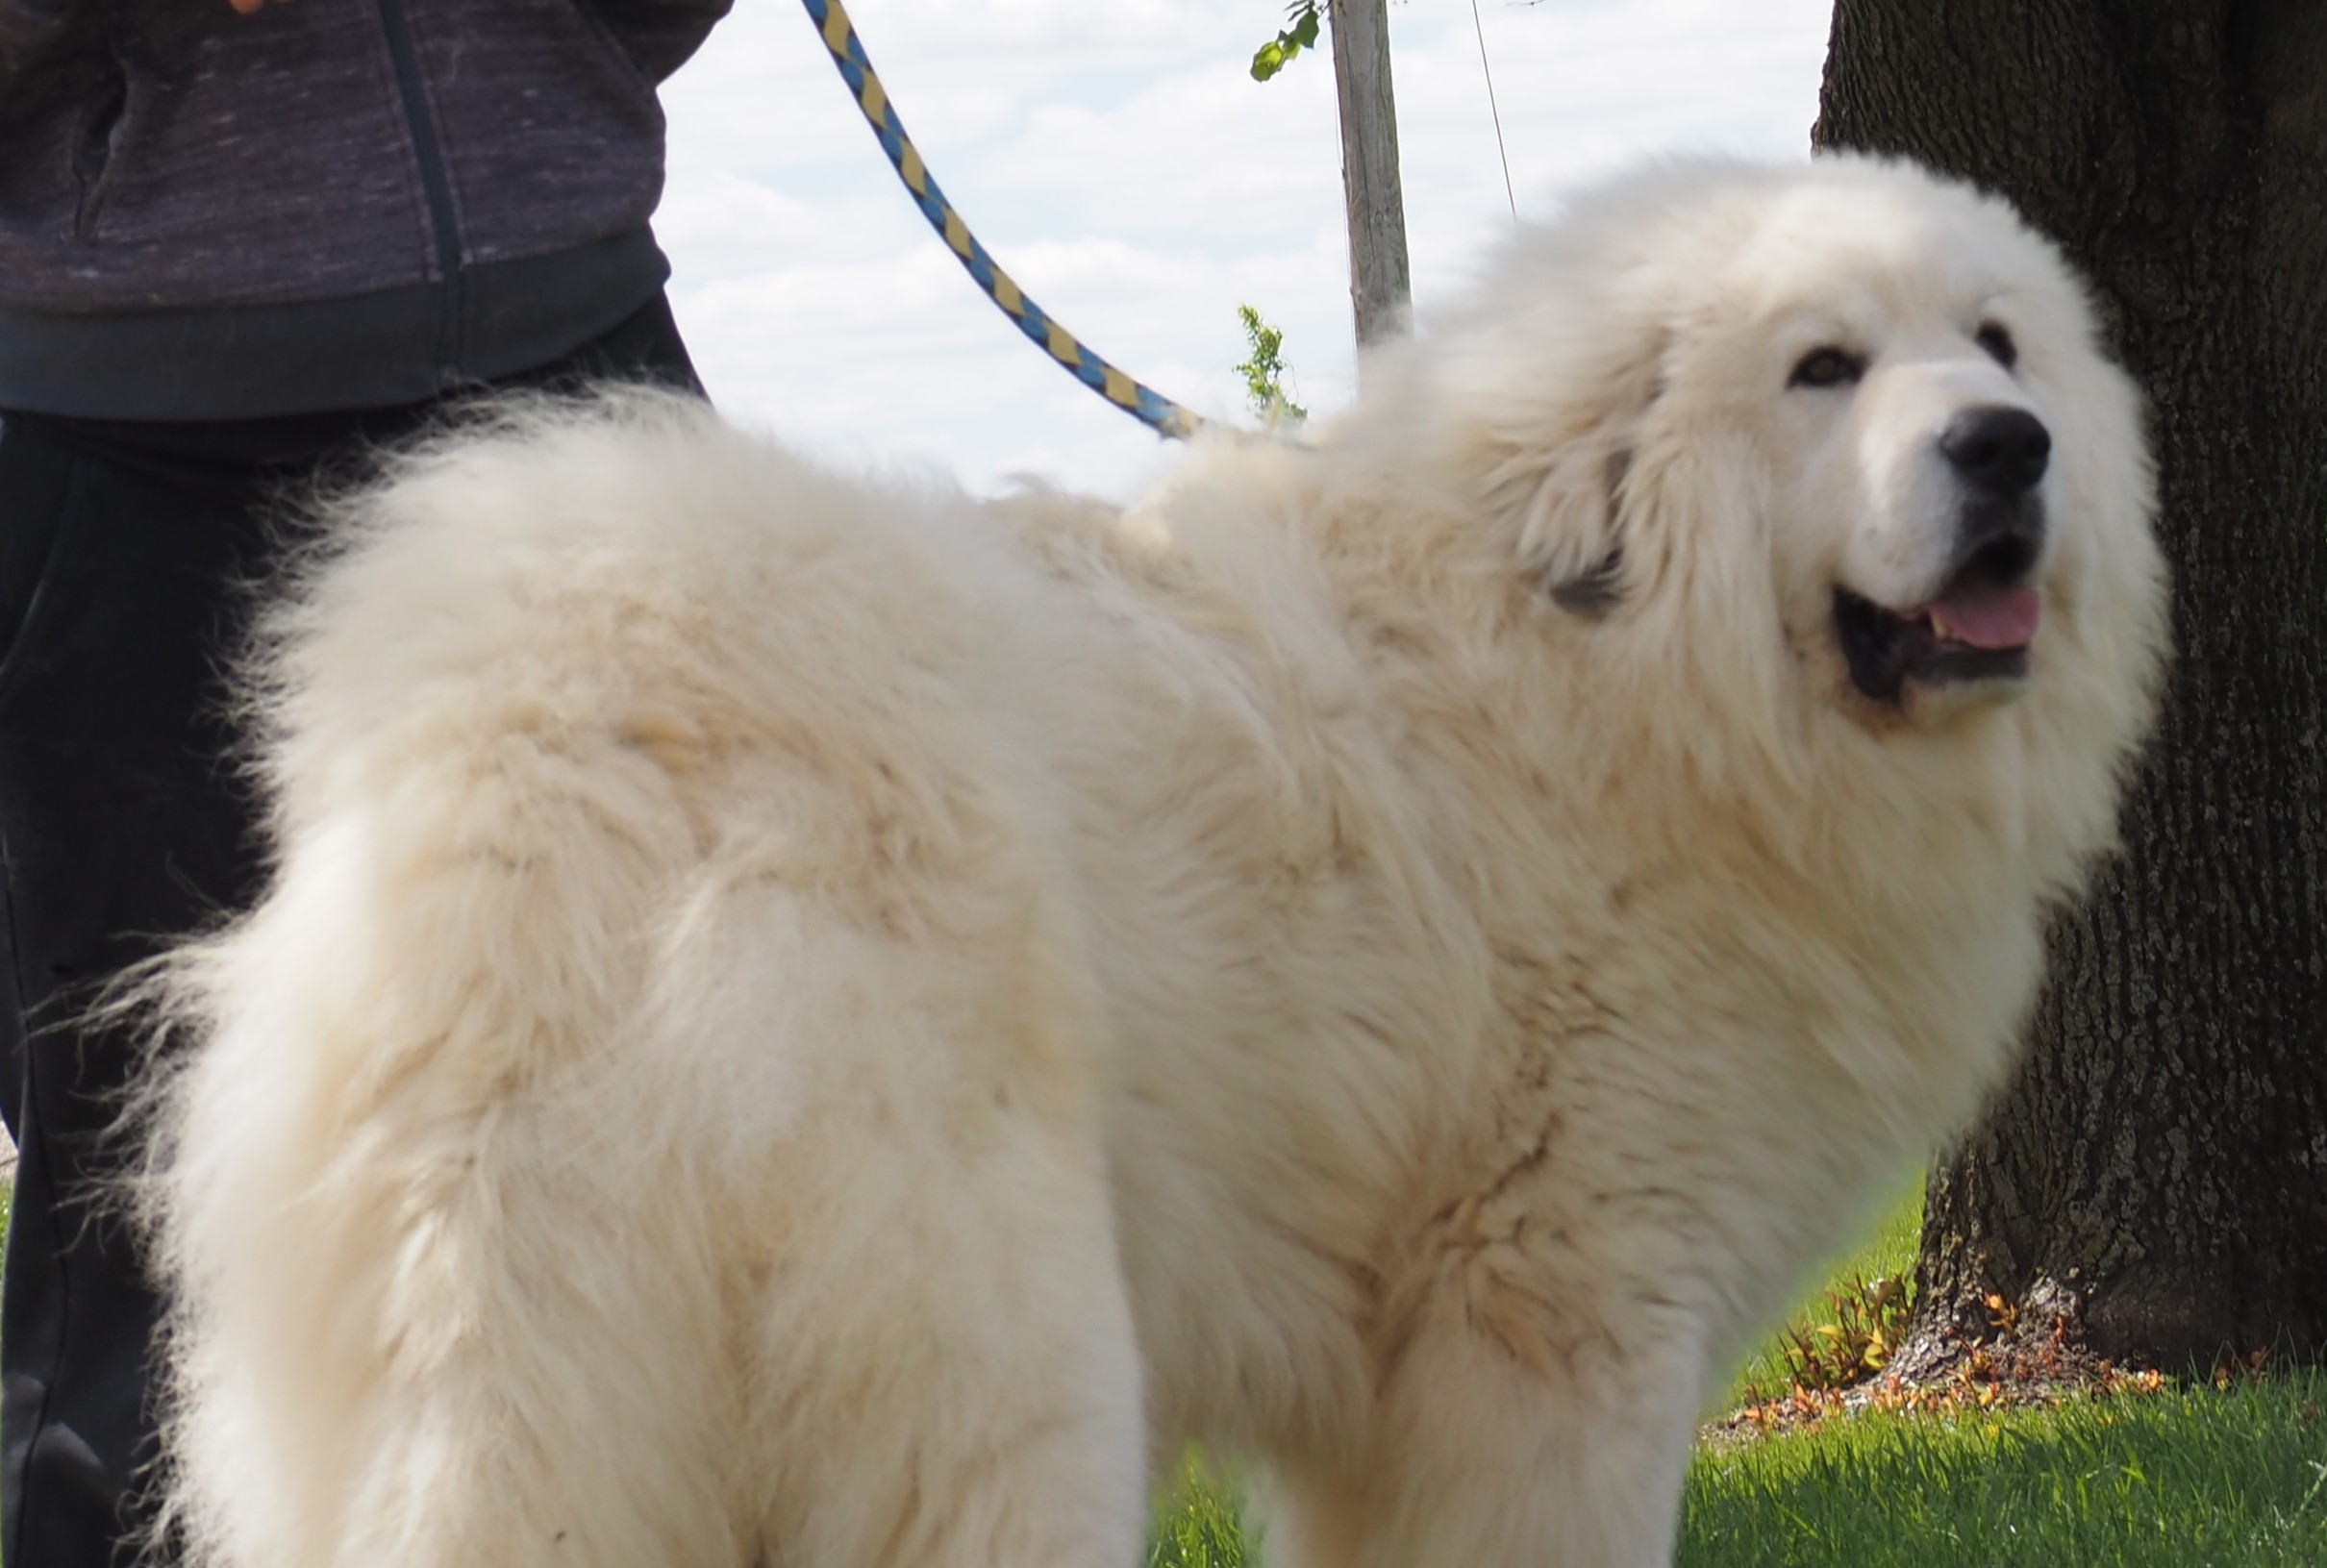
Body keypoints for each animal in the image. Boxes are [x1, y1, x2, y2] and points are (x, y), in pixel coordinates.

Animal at [136, 156, 2168, 1563]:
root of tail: (558, 779)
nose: (2009, 446)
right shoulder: (1565, 1318)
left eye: (1997, 344)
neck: (1611, 665)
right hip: (1003, 1375)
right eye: (1825, 370)